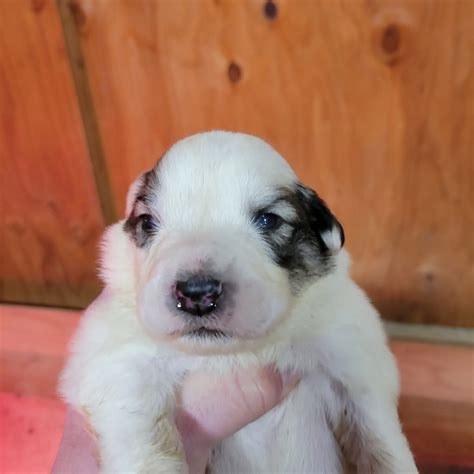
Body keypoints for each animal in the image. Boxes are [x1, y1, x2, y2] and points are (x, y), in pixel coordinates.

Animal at [60, 131, 418, 474]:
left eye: (268, 220)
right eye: (148, 222)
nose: (197, 293)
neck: (231, 355)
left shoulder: (354, 359)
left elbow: (379, 439)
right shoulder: (117, 359)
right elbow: (141, 427)